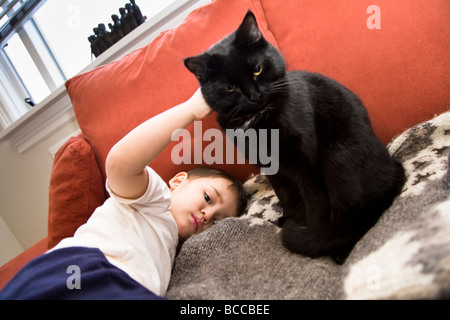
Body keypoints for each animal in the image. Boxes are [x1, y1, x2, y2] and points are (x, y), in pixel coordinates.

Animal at [183, 11, 404, 264]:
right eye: (230, 87)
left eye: (257, 69)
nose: (254, 95)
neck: (258, 118)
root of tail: (394, 169)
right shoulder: (272, 167)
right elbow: (287, 195)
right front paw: (293, 218)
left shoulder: (306, 163)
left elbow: (315, 201)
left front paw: (309, 229)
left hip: (337, 156)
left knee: (352, 213)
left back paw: (336, 249)